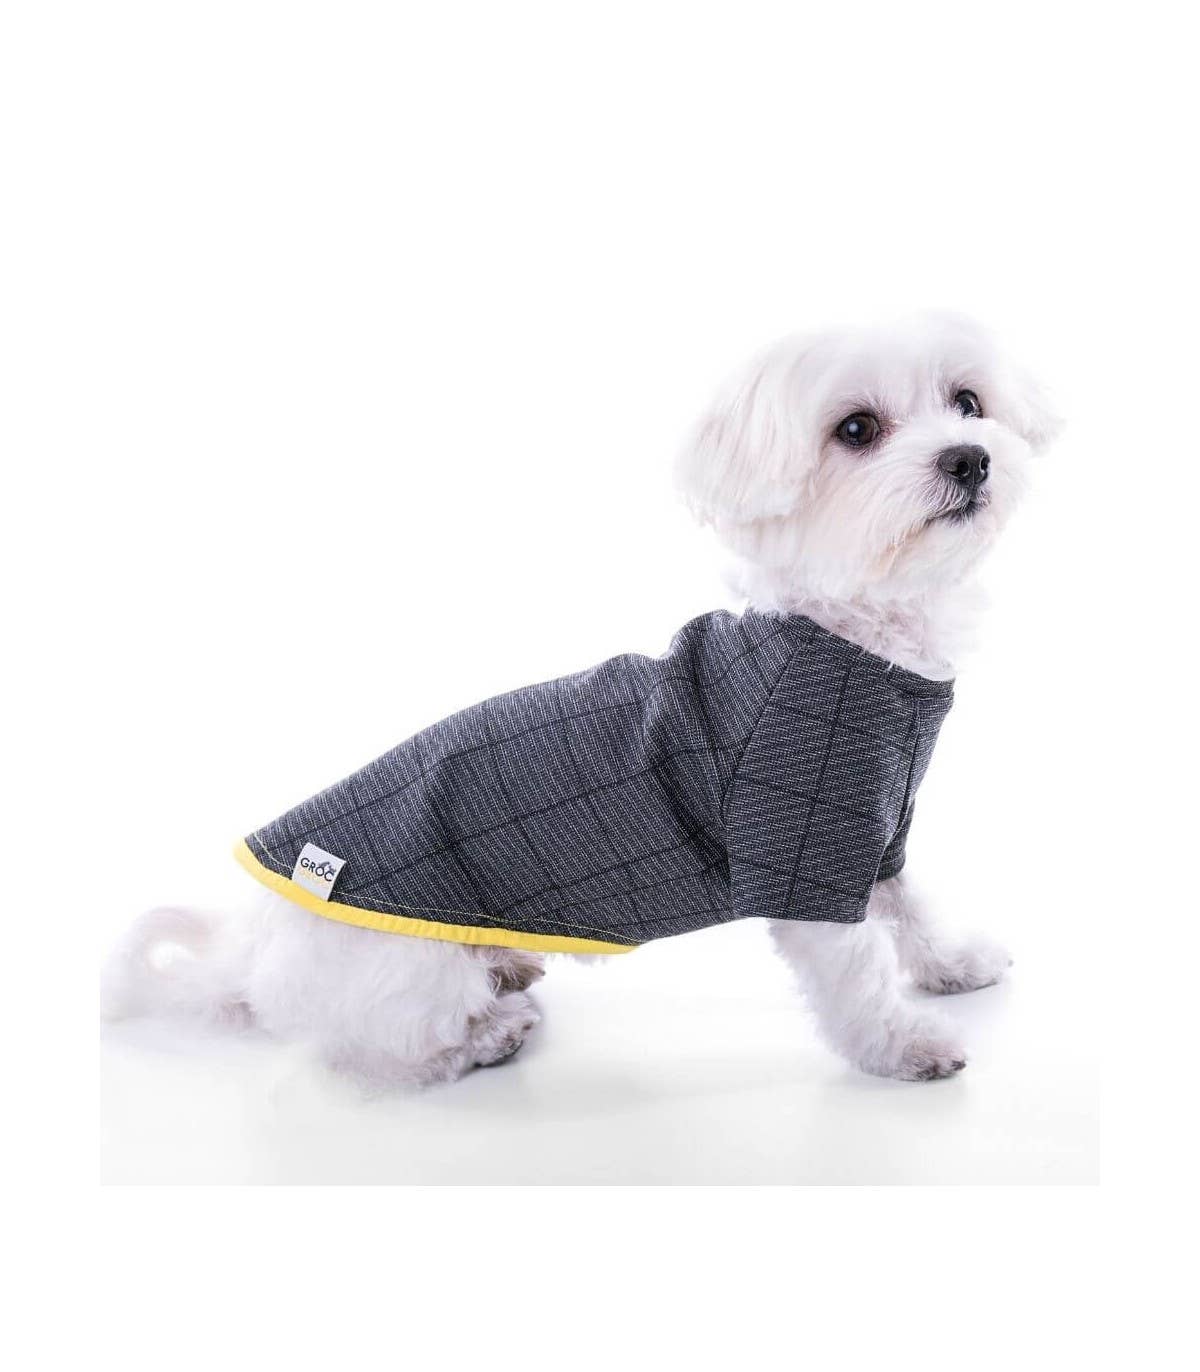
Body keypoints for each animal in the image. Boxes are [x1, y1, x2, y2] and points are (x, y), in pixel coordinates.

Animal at [103, 311, 1060, 1086]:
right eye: (856, 429)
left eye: (968, 402)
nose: (970, 457)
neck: (850, 635)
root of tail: (253, 954)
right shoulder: (799, 843)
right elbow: (857, 965)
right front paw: (905, 1045)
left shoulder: (874, 825)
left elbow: (910, 906)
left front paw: (951, 963)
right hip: (408, 973)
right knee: (378, 1050)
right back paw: (488, 1032)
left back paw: (509, 969)